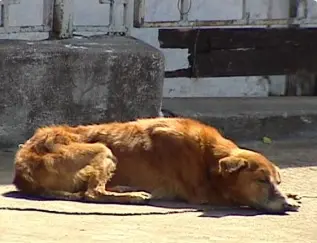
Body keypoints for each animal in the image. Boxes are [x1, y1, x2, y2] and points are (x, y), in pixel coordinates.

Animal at [12, 117, 298, 213]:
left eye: (276, 181)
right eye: (261, 181)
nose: (284, 204)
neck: (208, 156)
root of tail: (21, 170)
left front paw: (292, 195)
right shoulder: (203, 194)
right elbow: (237, 198)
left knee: (92, 190)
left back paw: (125, 188)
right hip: (103, 149)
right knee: (92, 194)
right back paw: (134, 196)